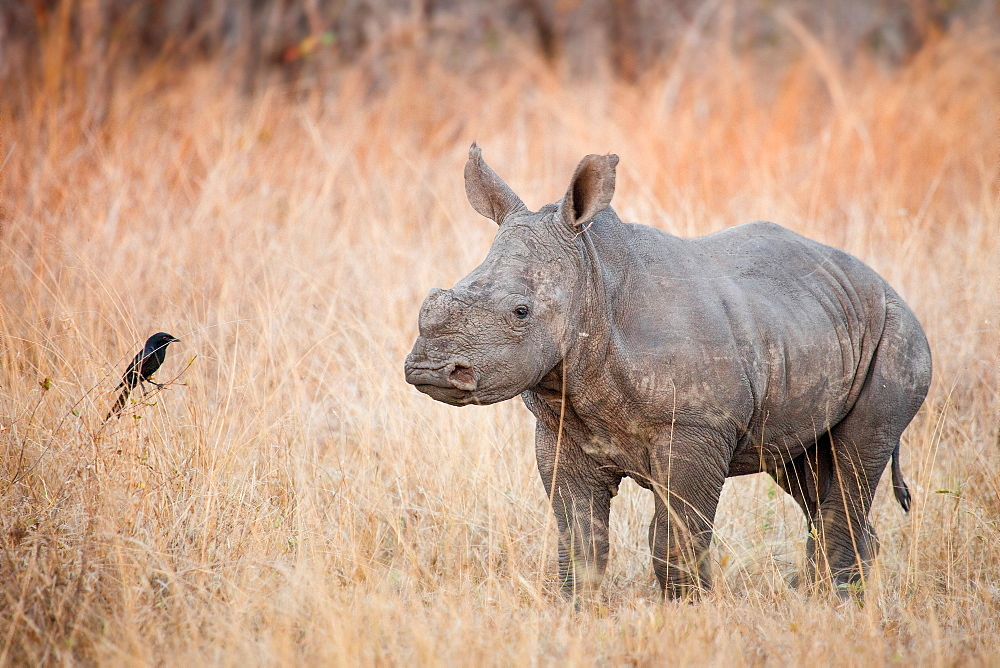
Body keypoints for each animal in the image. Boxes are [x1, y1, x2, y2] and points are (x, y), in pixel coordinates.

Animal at [404, 144, 928, 596]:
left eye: (520, 312)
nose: (430, 369)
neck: (593, 281)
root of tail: (884, 284)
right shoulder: (561, 430)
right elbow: (580, 541)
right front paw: (577, 612)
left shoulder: (697, 429)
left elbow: (675, 539)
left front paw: (690, 611)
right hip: (809, 324)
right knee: (807, 472)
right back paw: (838, 599)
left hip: (899, 335)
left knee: (852, 463)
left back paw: (834, 602)